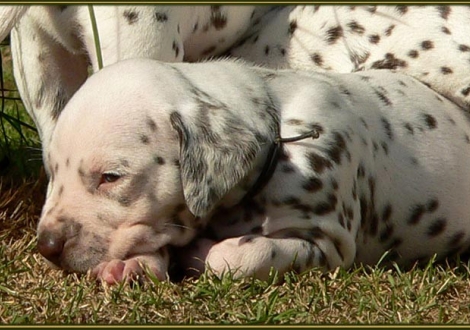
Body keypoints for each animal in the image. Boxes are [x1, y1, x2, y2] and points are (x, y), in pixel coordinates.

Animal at [37, 57, 470, 284]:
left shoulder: (328, 242)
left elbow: (244, 254)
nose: (46, 246)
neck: (279, 133)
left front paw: (202, 253)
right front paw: (131, 265)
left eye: (110, 177)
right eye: (52, 172)